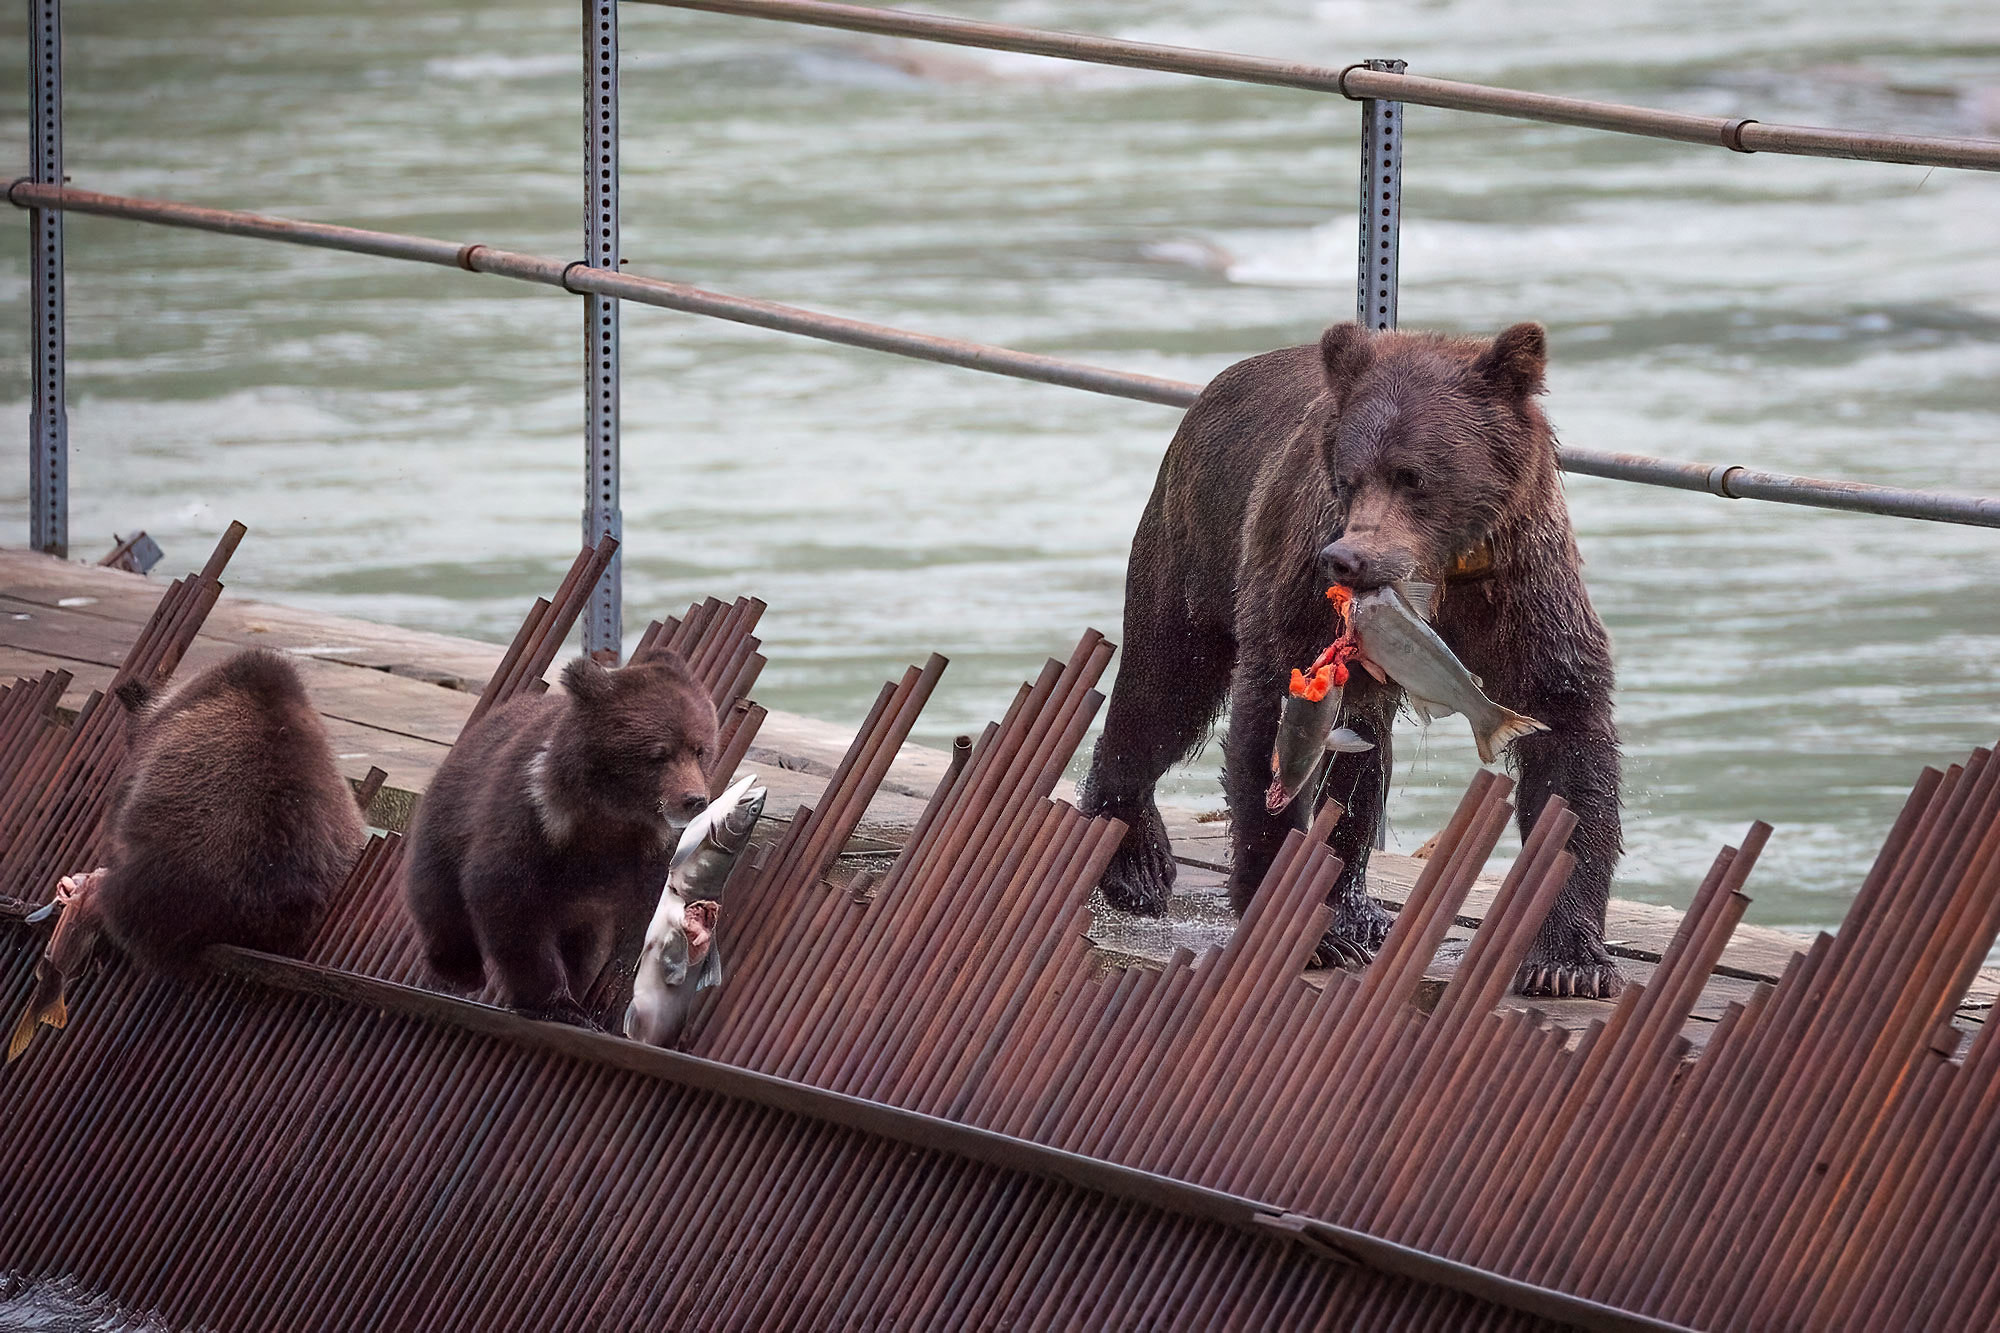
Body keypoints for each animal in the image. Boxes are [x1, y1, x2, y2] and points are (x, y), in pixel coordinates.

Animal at [404, 648, 720, 1020]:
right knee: (438, 897)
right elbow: (506, 899)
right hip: (450, 816)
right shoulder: (533, 825)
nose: (694, 800)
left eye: (700, 749)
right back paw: (459, 970)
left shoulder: (652, 854)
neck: (609, 818)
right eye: (660, 753)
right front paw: (554, 1001)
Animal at [1080, 322, 1624, 996]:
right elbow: (1270, 711)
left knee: (1361, 759)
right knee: (1164, 691)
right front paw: (1298, 925)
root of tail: (1211, 389)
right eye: (1348, 477)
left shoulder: (1522, 585)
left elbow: (1565, 732)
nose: (1347, 559)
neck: (1442, 571)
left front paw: (1569, 961)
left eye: (1413, 475)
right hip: (1194, 552)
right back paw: (1136, 864)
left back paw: (1357, 910)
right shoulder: (1300, 581)